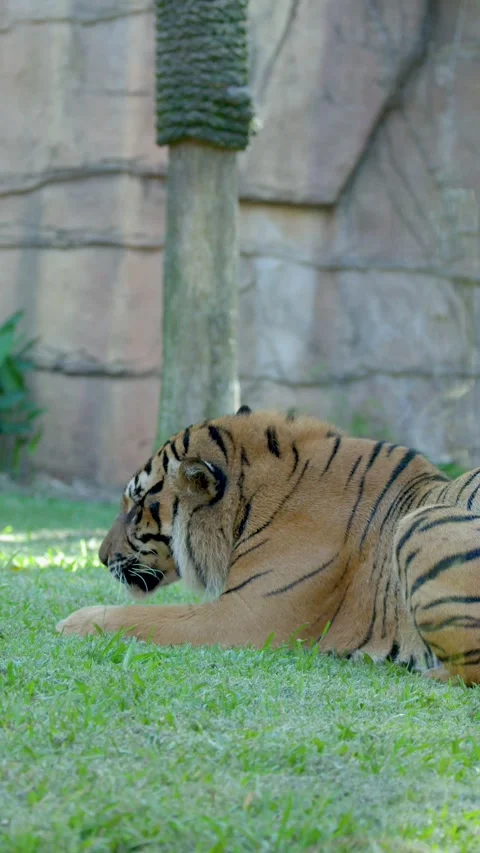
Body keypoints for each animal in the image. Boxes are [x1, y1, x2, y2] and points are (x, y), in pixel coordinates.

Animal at [57, 407, 480, 685]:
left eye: (137, 506)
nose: (100, 558)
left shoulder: (245, 615)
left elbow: (142, 618)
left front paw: (72, 621)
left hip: (422, 521)